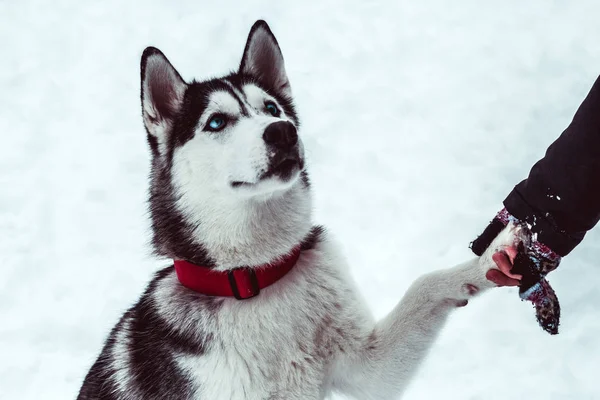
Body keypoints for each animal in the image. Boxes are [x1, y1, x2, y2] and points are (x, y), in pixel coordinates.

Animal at [78, 19, 520, 400]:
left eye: (272, 109)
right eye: (216, 122)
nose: (283, 131)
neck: (257, 276)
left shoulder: (369, 367)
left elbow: (424, 284)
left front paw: (490, 259)